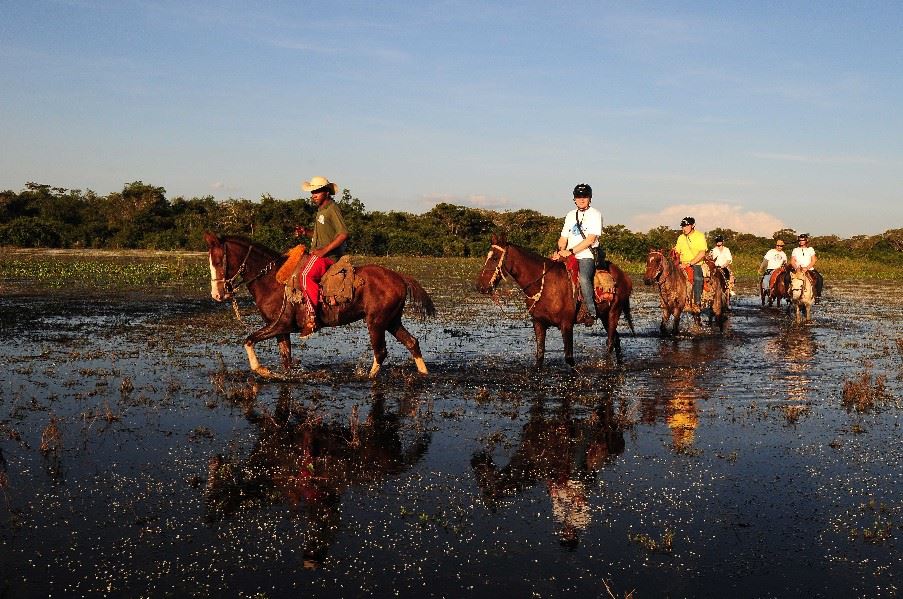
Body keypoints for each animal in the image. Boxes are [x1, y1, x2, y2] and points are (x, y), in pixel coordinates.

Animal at [204, 231, 434, 380]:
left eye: (218, 262)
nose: (217, 295)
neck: (271, 279)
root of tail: (400, 277)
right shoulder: (281, 330)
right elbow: (286, 359)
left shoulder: (280, 325)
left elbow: (248, 340)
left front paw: (261, 370)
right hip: (391, 320)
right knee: (412, 342)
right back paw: (424, 373)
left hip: (376, 322)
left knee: (381, 352)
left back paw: (368, 377)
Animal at [474, 233, 636, 366]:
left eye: (495, 258)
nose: (481, 286)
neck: (544, 284)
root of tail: (624, 276)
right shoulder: (538, 323)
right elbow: (540, 356)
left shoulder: (566, 324)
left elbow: (569, 358)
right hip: (603, 315)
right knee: (616, 339)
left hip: (614, 312)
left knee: (610, 342)